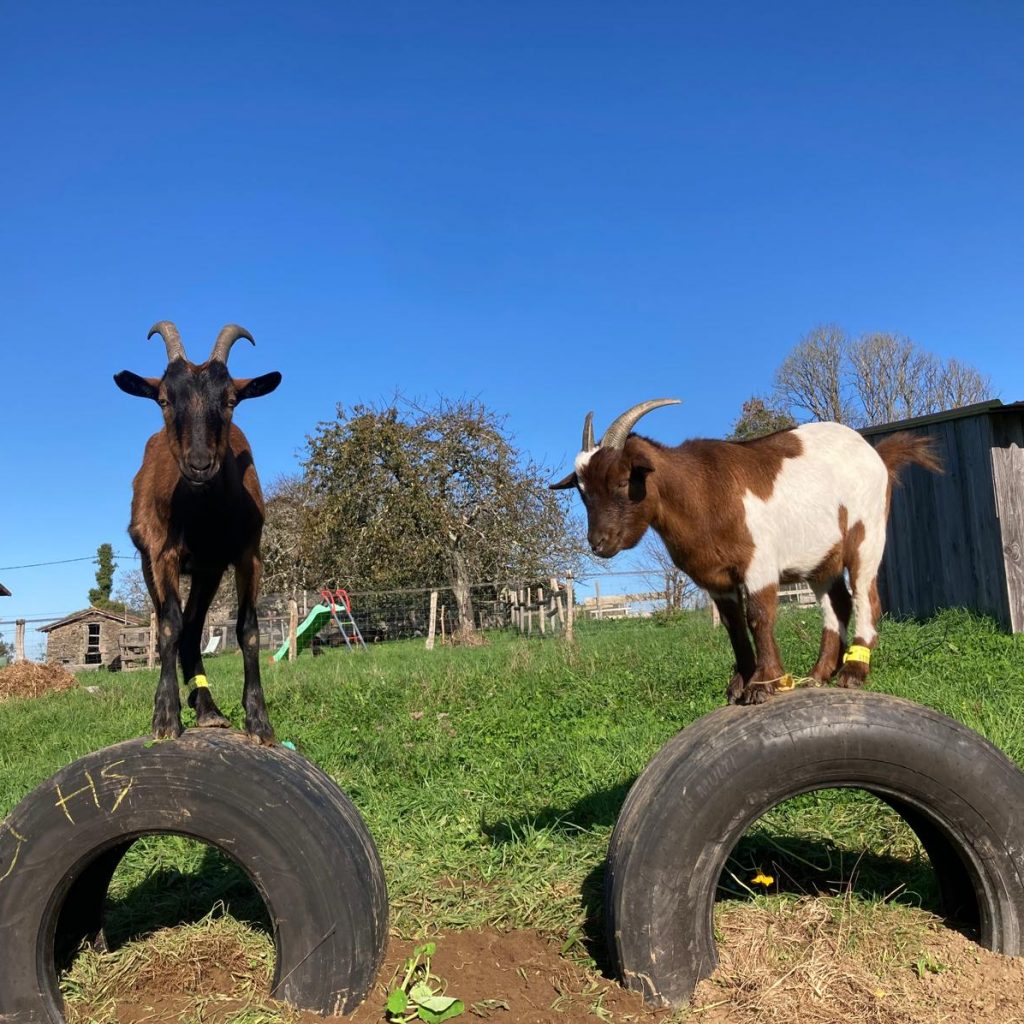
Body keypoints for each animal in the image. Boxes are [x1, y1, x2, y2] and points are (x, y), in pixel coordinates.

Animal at [115, 322, 282, 742]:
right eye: (163, 399)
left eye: (231, 400)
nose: (200, 463)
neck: (205, 515)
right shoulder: (164, 553)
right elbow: (168, 626)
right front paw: (165, 717)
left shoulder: (247, 555)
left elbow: (248, 630)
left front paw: (259, 721)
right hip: (150, 561)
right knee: (175, 626)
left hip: (208, 572)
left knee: (193, 630)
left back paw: (208, 709)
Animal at [551, 400, 941, 704]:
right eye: (582, 492)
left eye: (622, 481)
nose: (599, 542)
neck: (703, 492)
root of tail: (877, 455)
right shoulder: (715, 578)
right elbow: (733, 624)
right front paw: (740, 683)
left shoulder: (759, 562)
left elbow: (759, 616)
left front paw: (763, 683)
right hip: (821, 559)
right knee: (838, 604)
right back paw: (817, 674)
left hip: (867, 533)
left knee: (865, 596)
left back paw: (854, 670)